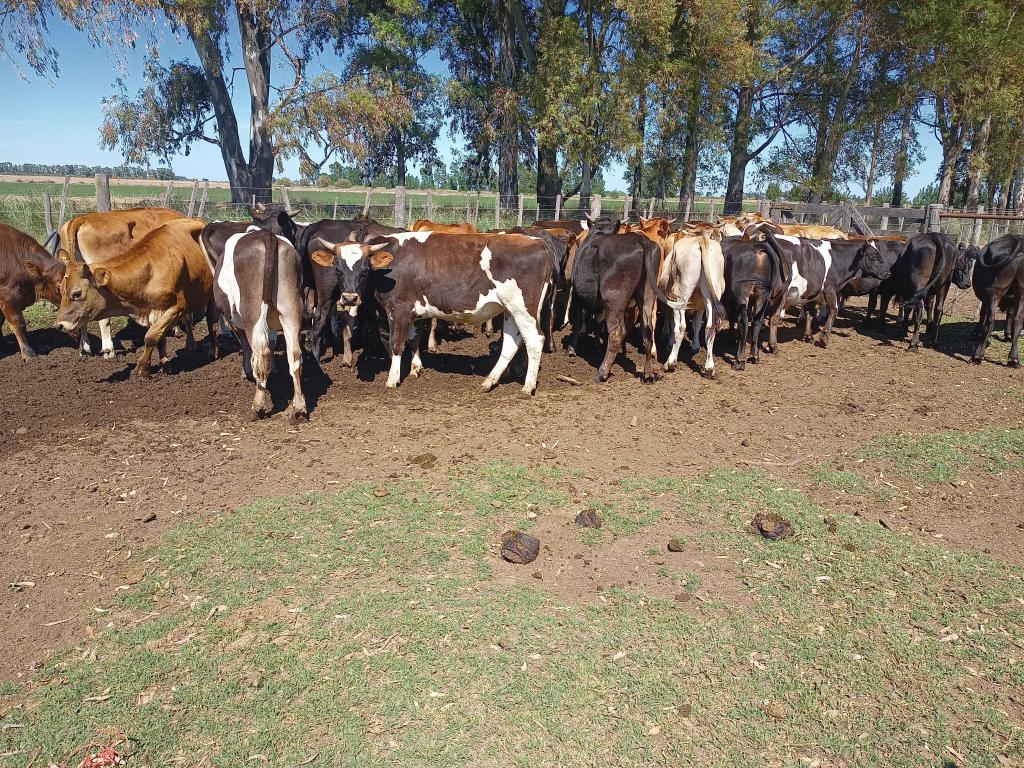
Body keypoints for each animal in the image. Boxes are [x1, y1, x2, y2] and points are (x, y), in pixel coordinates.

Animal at [210, 228, 308, 419]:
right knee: (294, 355)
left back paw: (258, 406)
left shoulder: (235, 321)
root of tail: (266, 235)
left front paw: (245, 372)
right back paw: (299, 406)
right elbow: (272, 342)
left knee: (261, 353)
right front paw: (275, 370)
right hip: (290, 309)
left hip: (252, 312)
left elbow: (246, 346)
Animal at [309, 230, 554, 393]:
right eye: (338, 269)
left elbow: (396, 344)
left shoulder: (399, 309)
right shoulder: (413, 312)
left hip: (522, 308)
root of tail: (537, 242)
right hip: (509, 309)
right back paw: (489, 381)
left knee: (534, 340)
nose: (350, 298)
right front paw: (416, 367)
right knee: (512, 343)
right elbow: (414, 339)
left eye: (364, 269)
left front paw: (393, 378)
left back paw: (528, 386)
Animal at [565, 217, 661, 383]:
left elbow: (578, 323)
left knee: (616, 333)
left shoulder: (578, 295)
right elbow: (598, 323)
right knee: (647, 331)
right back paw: (648, 373)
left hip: (613, 299)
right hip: (647, 296)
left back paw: (602, 372)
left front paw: (571, 349)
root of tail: (640, 240)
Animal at [957, 235, 1024, 366]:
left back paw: (978, 355)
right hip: (1021, 292)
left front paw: (975, 334)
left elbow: (982, 315)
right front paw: (1008, 335)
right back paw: (1013, 358)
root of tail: (1016, 240)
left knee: (990, 320)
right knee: (1018, 319)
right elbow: (1010, 314)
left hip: (993, 293)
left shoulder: (985, 298)